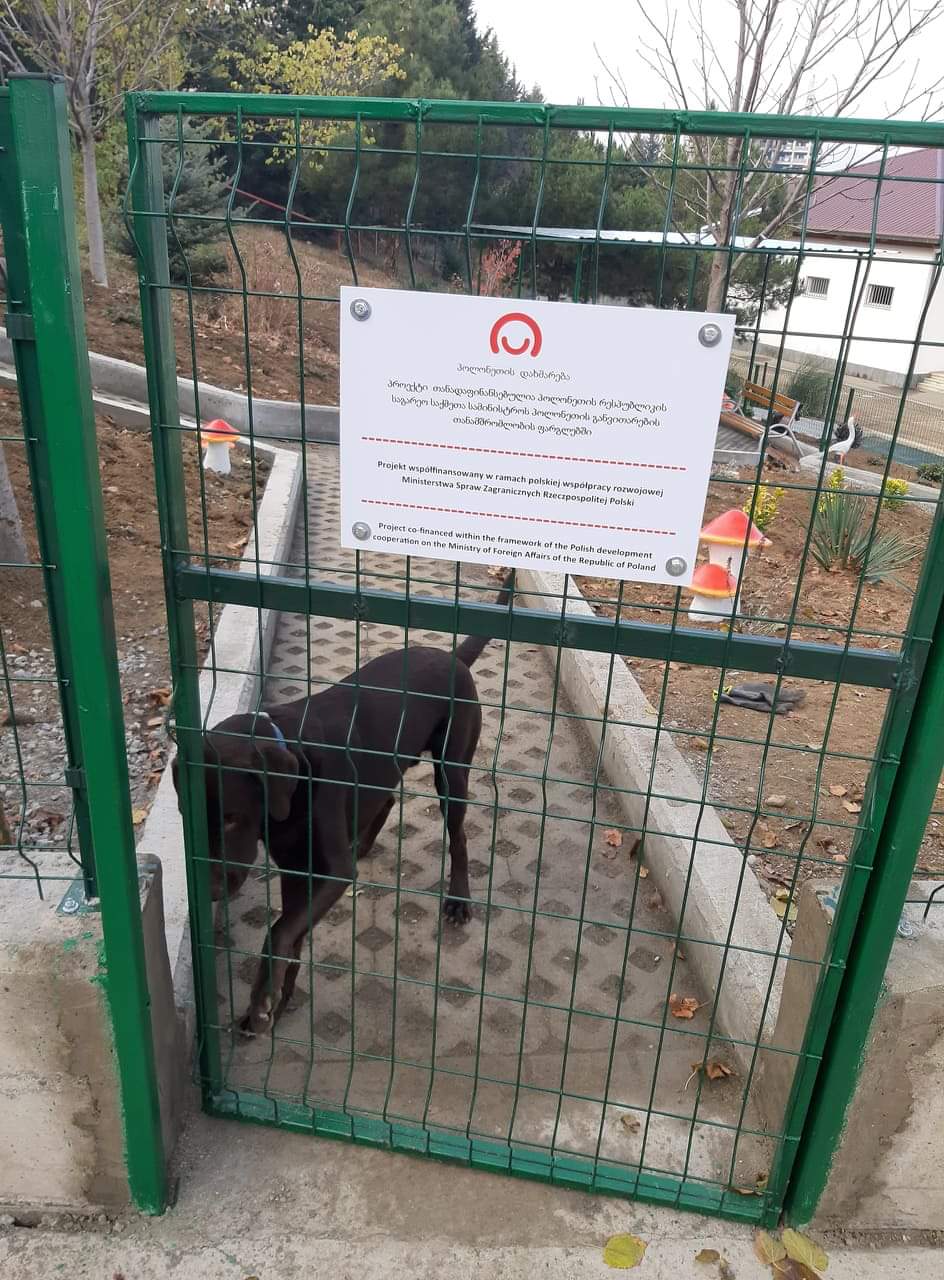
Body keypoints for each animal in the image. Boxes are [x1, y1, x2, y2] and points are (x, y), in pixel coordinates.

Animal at [173, 574, 511, 1035]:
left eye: (230, 819)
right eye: (188, 817)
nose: (208, 894)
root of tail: (450, 655)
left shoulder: (332, 873)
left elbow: (278, 932)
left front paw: (262, 1001)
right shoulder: (296, 870)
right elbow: (292, 934)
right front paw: (278, 999)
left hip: (451, 770)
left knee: (457, 835)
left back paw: (459, 899)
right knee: (386, 798)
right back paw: (364, 843)